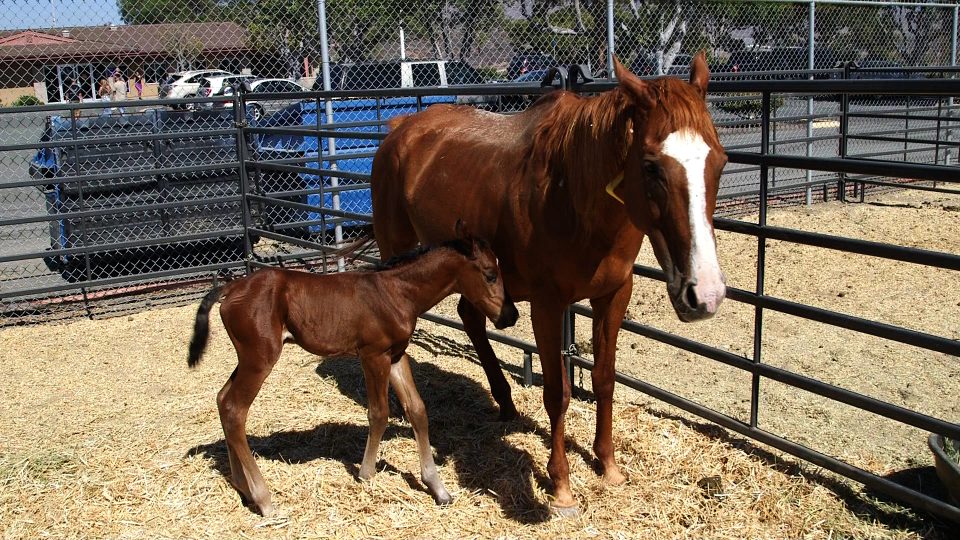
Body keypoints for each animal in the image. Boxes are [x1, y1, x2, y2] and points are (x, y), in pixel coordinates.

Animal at [186, 224, 519, 516]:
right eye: (490, 274)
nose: (510, 316)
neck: (397, 293)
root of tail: (231, 287)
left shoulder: (396, 356)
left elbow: (417, 410)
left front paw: (438, 489)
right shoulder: (373, 356)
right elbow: (379, 412)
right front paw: (366, 472)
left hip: (247, 358)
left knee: (222, 400)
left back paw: (242, 487)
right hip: (260, 359)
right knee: (234, 409)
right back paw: (263, 499)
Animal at [370, 53, 727, 514]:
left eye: (720, 161)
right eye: (651, 166)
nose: (706, 294)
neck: (572, 193)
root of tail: (400, 128)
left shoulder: (613, 295)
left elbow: (604, 379)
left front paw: (608, 465)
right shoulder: (547, 304)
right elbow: (557, 392)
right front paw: (561, 486)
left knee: (470, 316)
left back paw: (504, 400)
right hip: (399, 248)